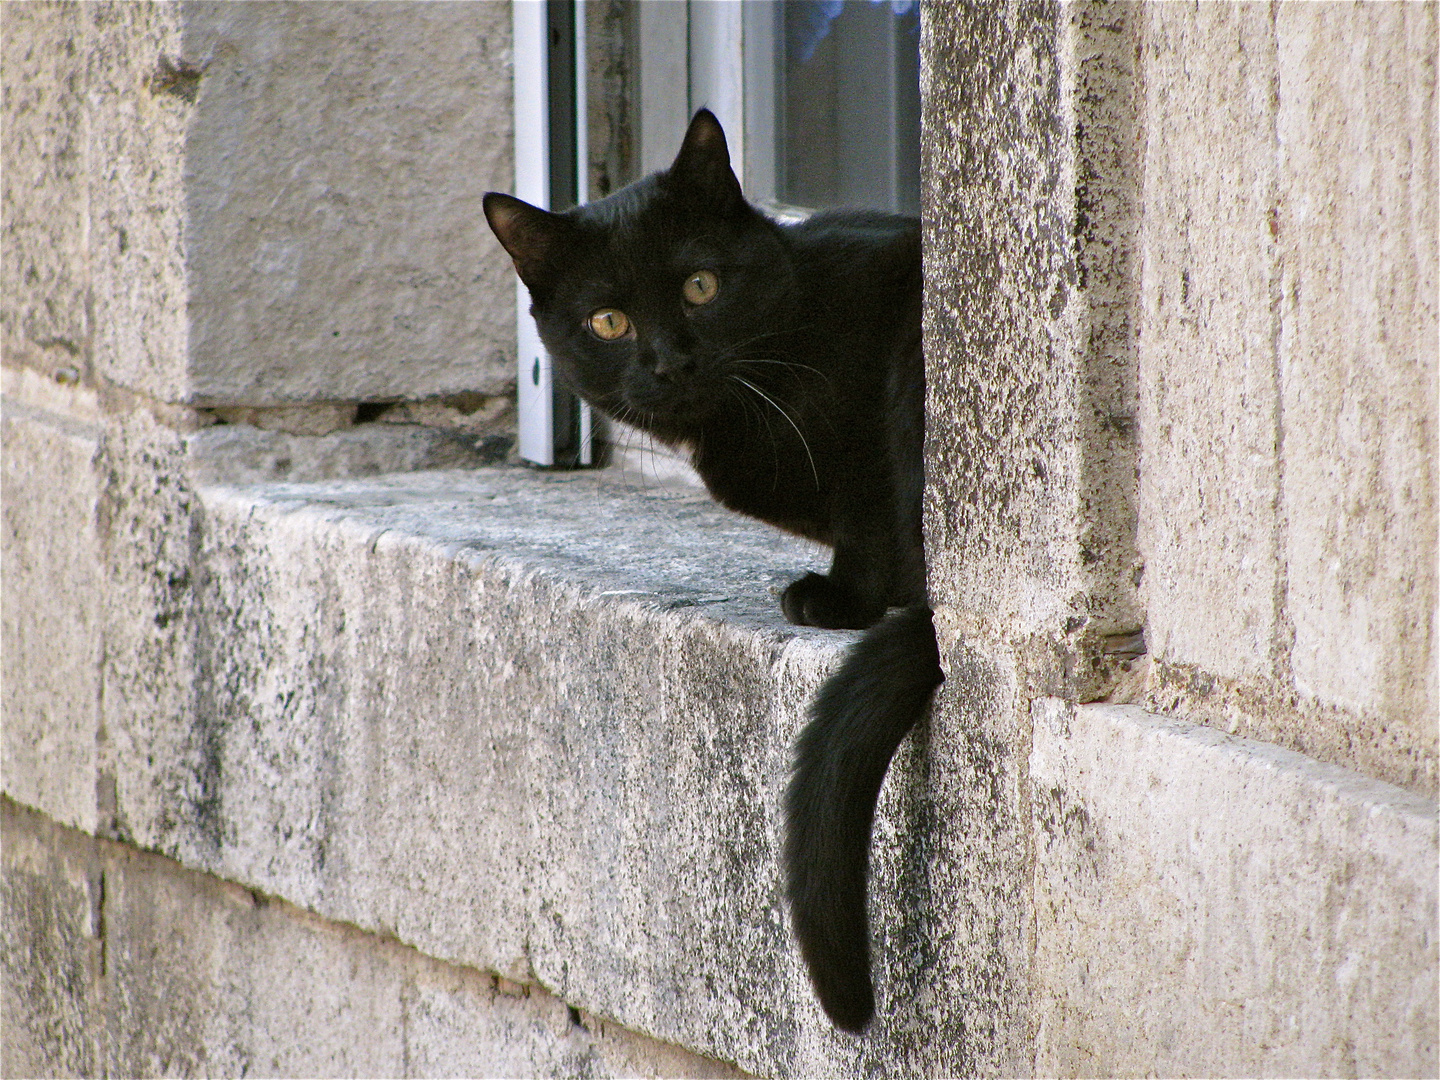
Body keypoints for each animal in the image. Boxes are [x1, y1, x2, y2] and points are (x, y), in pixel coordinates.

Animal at [483, 112, 944, 1042]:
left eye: (701, 285)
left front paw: (840, 595)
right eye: (610, 320)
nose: (670, 361)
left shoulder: (878, 353)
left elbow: (872, 503)